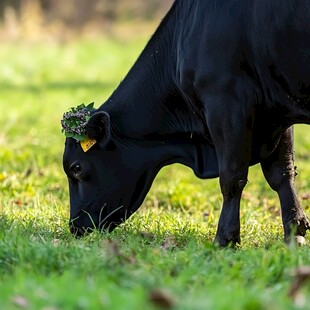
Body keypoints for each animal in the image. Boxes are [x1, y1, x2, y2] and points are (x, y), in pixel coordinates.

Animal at [62, 0, 310, 247]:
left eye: (76, 167)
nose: (75, 225)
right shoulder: (275, 113)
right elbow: (281, 173)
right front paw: (294, 233)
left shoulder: (225, 102)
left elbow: (231, 177)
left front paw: (224, 238)